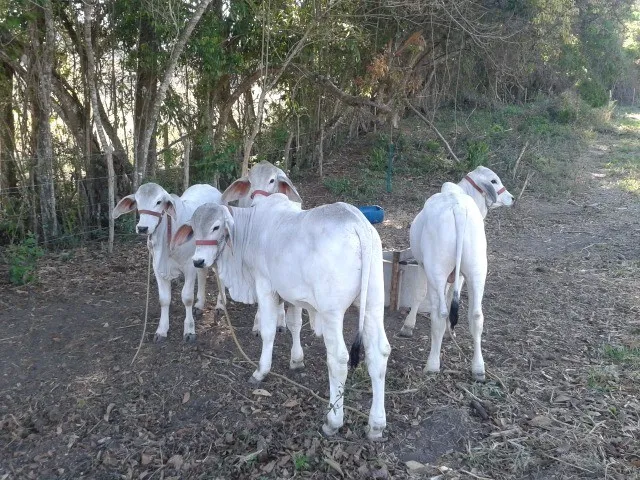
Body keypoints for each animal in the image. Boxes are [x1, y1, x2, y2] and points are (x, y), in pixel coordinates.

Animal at [113, 182, 222, 343]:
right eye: (137, 202)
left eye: (159, 202)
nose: (142, 228)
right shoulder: (157, 268)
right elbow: (164, 299)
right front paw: (161, 330)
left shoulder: (189, 266)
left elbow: (187, 298)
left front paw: (189, 330)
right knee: (203, 274)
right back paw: (199, 305)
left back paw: (220, 306)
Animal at [173, 196, 391, 440]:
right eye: (193, 228)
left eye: (216, 227)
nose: (198, 261)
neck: (250, 229)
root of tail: (356, 221)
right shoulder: (292, 294)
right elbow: (295, 325)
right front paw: (296, 360)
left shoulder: (265, 286)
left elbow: (268, 332)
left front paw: (261, 371)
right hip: (373, 305)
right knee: (379, 353)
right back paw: (376, 425)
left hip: (332, 313)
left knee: (338, 359)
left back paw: (333, 421)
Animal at [408, 166, 514, 381]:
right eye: (494, 180)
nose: (512, 198)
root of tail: (457, 207)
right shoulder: (461, 275)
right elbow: (450, 297)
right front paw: (451, 331)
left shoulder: (423, 265)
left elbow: (420, 294)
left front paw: (408, 326)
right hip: (477, 270)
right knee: (476, 315)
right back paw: (478, 368)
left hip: (436, 270)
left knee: (439, 313)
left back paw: (432, 364)